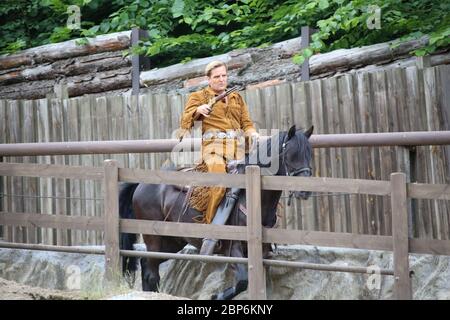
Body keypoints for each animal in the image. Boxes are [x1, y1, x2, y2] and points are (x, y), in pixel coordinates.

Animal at [118, 125, 312, 300]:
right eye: (290, 154)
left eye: (309, 154)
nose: (305, 191)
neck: (251, 196)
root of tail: (141, 184)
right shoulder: (232, 249)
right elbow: (243, 281)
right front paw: (215, 296)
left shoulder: (262, 253)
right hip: (154, 239)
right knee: (151, 272)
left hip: (172, 242)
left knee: (146, 264)